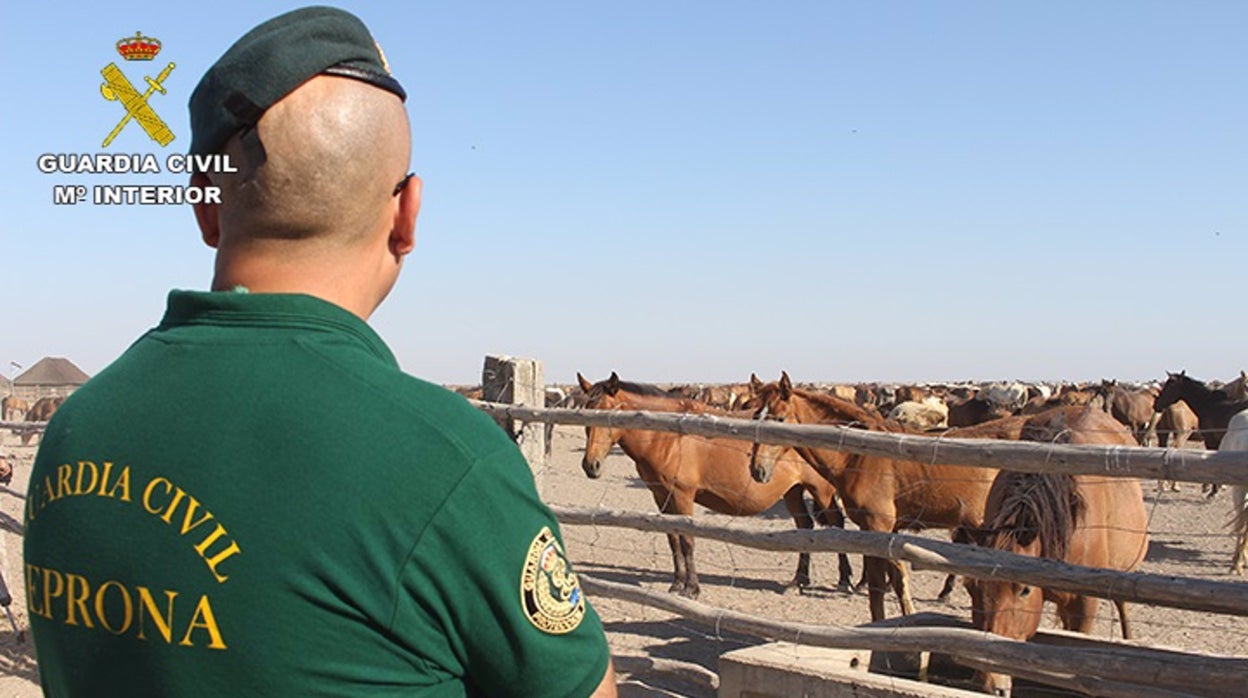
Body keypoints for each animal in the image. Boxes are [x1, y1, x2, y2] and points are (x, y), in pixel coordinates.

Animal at [576, 374, 858, 599]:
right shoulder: (662, 496)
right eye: (586, 412)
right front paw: (677, 584)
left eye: (609, 414)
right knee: (805, 527)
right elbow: (673, 540)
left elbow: (687, 540)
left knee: (836, 525)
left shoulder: (682, 496)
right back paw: (798, 582)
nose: (591, 465)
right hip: (792, 491)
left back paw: (846, 581)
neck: (669, 435)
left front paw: (691, 588)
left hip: (821, 491)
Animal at [743, 372, 1018, 621]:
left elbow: (883, 586)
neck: (858, 456)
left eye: (780, 418)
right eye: (755, 416)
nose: (758, 470)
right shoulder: (882, 531)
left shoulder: (878, 527)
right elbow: (894, 581)